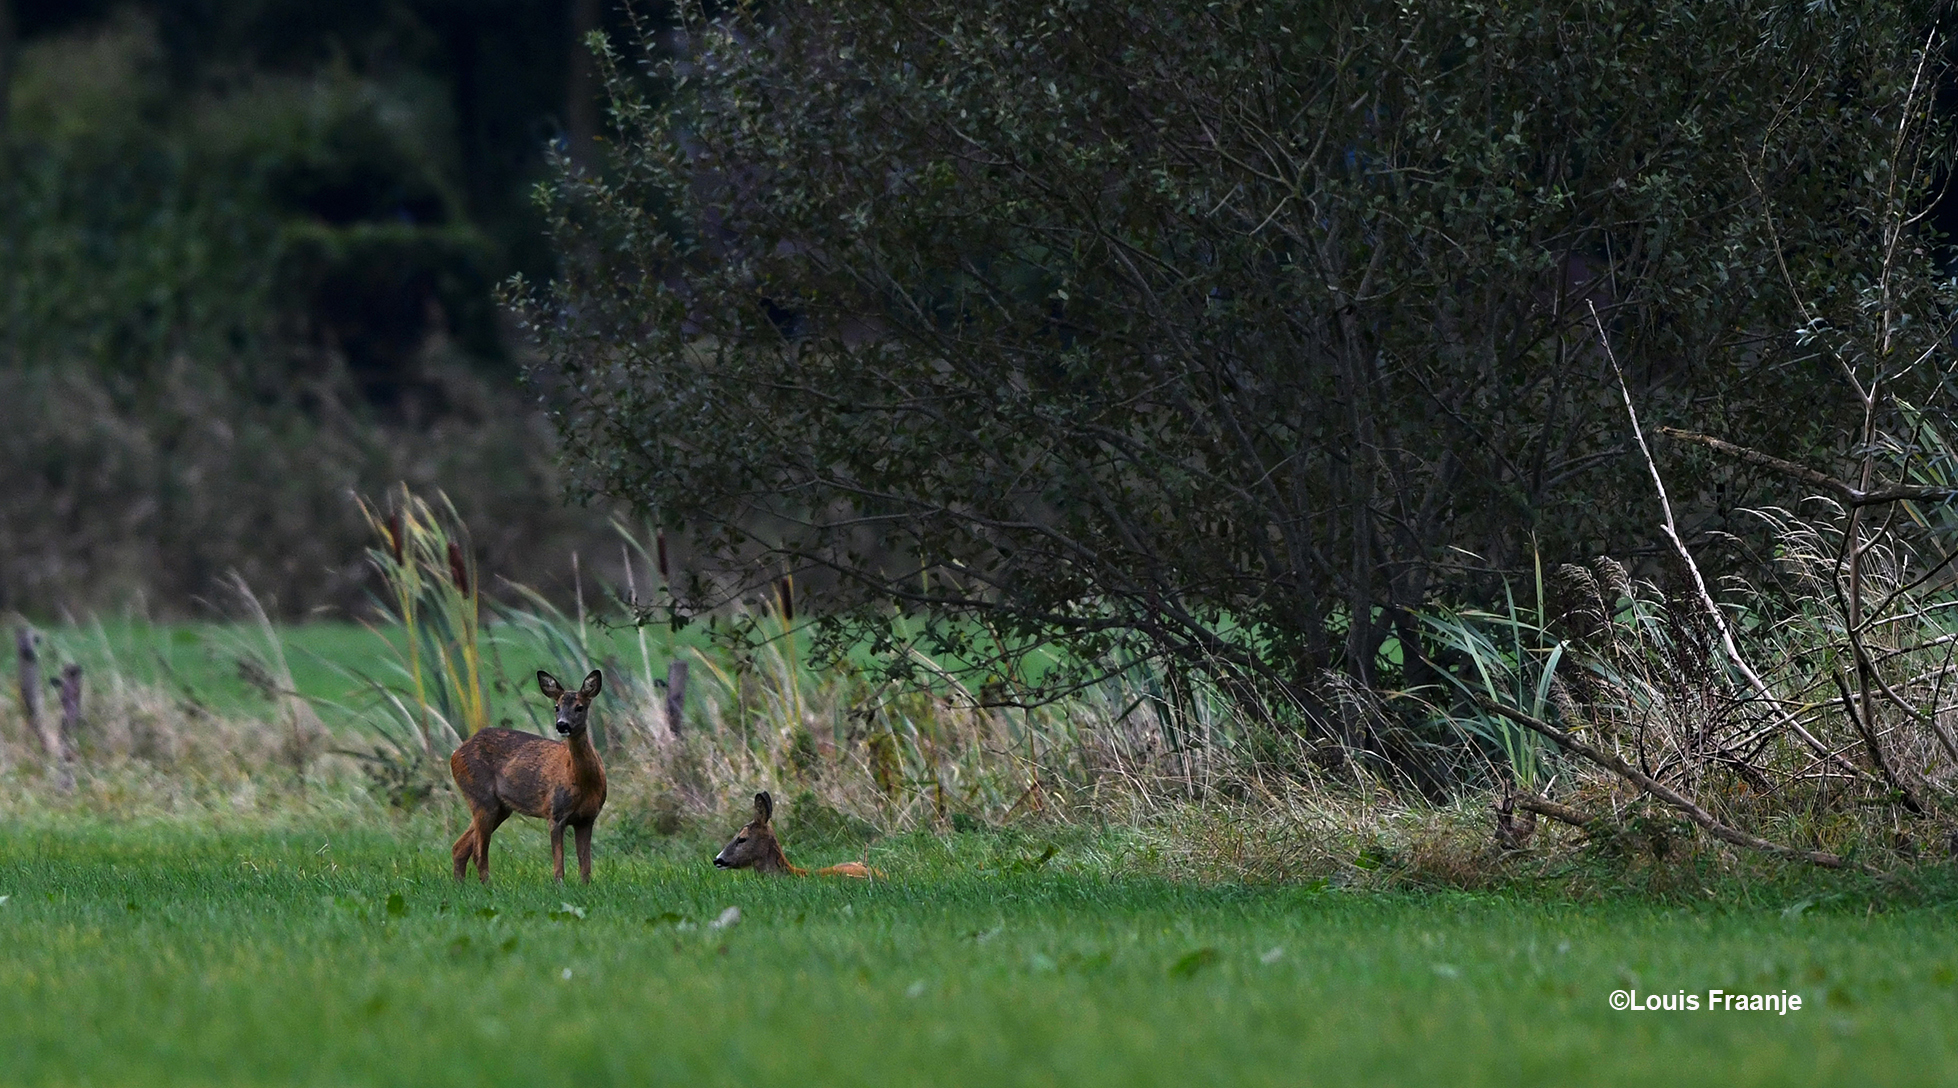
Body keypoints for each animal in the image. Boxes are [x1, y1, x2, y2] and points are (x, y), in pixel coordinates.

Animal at [450, 673, 603, 884]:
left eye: (579, 707)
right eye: (556, 707)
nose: (562, 725)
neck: (582, 781)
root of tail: (455, 754)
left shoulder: (587, 818)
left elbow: (586, 868)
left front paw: (584, 887)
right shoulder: (555, 812)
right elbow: (559, 866)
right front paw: (559, 886)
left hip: (500, 807)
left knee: (459, 847)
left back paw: (461, 884)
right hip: (481, 797)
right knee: (478, 853)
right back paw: (488, 886)